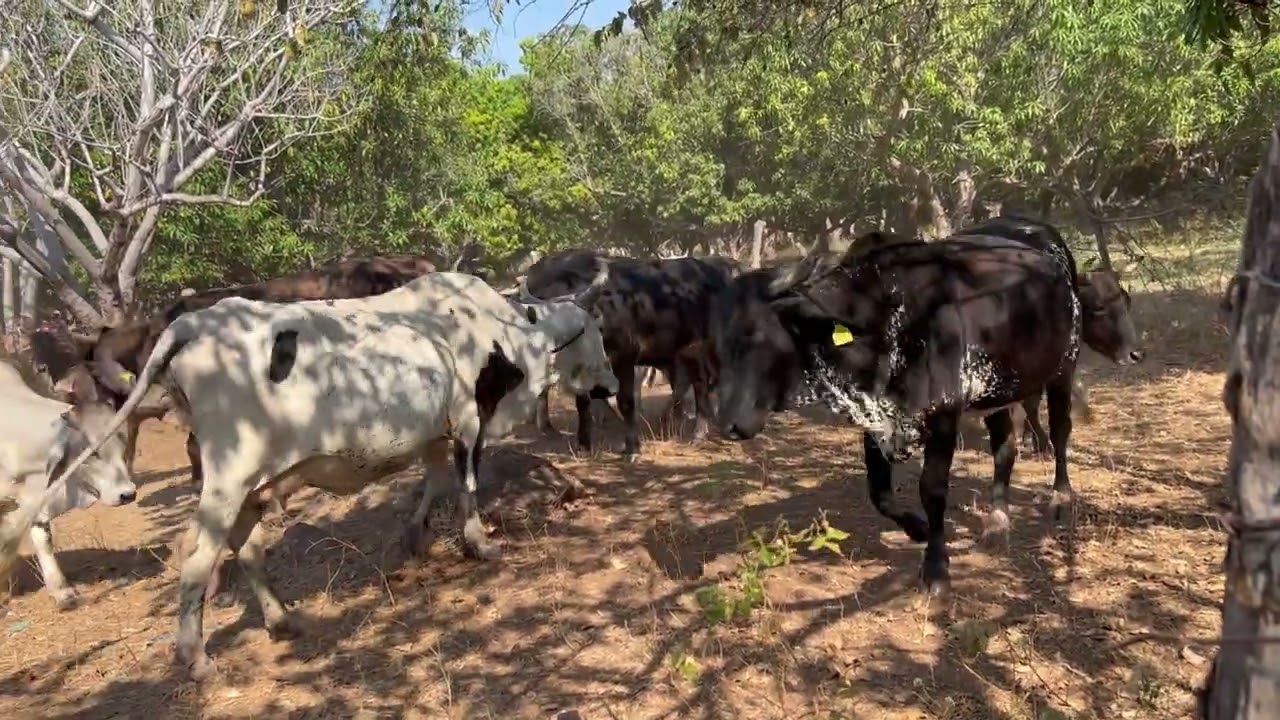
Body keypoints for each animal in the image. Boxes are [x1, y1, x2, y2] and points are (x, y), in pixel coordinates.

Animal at [0, 361, 134, 610]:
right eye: (92, 453)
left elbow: (41, 542)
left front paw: (62, 592)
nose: (128, 494)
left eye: (123, 445)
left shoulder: (35, 504)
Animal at [523, 248, 738, 460]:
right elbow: (582, 403)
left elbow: (625, 400)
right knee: (698, 382)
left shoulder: (624, 357)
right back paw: (695, 431)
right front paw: (584, 445)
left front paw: (632, 448)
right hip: (687, 350)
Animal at [710, 230, 1085, 596]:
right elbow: (879, 492)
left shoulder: (944, 414)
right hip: (998, 394)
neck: (886, 316)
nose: (726, 425)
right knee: (1004, 450)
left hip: (1064, 366)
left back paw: (1061, 497)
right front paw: (918, 529)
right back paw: (997, 523)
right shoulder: (875, 420)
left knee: (1059, 431)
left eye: (757, 337)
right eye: (718, 343)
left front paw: (936, 568)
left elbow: (932, 490)